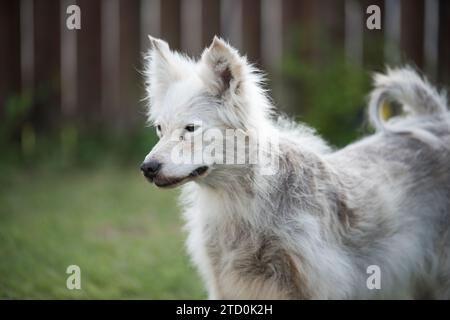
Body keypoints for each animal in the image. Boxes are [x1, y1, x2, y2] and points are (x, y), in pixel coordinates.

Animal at [141, 36, 450, 298]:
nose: (147, 168)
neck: (243, 202)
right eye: (159, 129)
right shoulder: (226, 284)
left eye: (191, 129)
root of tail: (434, 121)